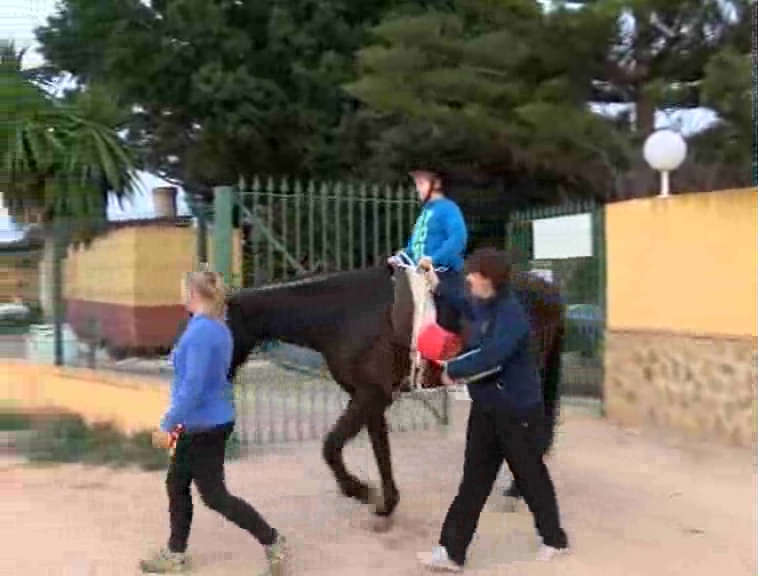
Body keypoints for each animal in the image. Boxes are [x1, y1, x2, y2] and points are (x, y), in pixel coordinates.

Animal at [224, 266, 564, 528]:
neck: (343, 312)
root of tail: (547, 288)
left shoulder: (371, 395)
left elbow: (331, 446)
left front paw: (359, 490)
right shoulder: (368, 397)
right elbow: (380, 449)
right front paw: (388, 502)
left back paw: (516, 491)